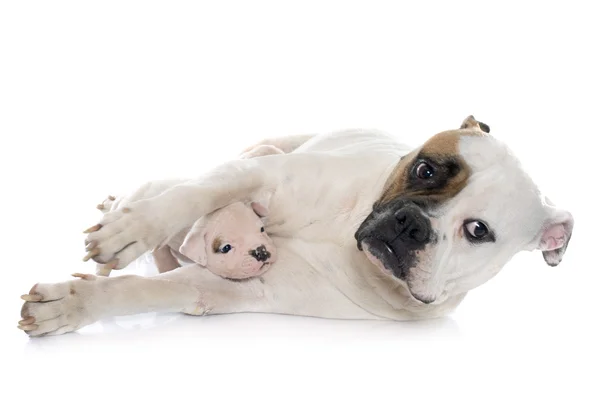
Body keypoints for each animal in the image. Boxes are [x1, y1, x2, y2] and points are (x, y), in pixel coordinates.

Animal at [17, 117, 572, 338]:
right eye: (426, 170)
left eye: (478, 231)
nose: (411, 225)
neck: (346, 240)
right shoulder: (263, 176)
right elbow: (195, 195)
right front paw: (128, 232)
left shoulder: (239, 287)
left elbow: (148, 290)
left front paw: (71, 304)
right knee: (179, 181)